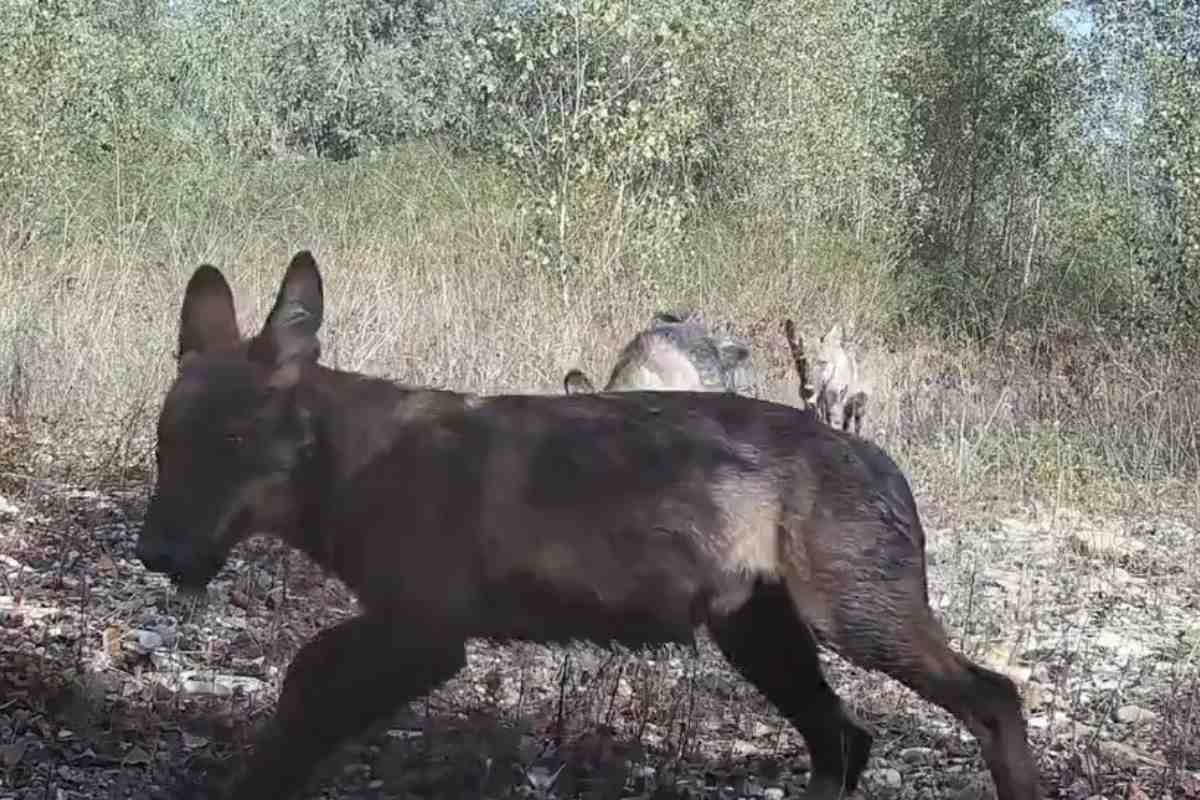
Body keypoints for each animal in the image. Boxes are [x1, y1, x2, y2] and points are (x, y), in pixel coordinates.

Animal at [138, 251, 1041, 800]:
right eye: (165, 443)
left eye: (232, 445)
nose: (152, 553)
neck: (357, 465)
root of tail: (880, 460)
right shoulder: (410, 632)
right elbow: (305, 693)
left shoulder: (428, 633)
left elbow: (304, 689)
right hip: (760, 636)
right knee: (846, 741)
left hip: (853, 622)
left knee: (992, 698)